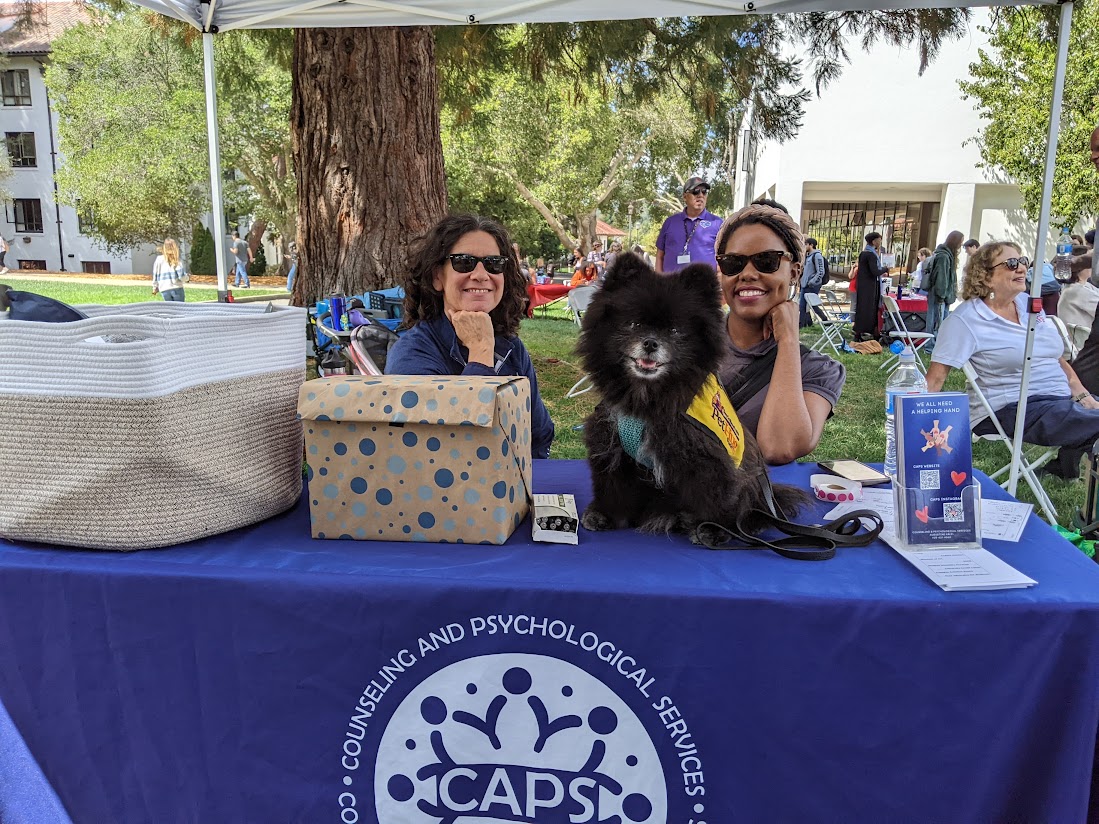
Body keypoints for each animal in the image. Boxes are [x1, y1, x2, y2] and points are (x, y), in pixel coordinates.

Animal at [580, 254, 804, 544]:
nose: (650, 343)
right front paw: (605, 515)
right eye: (634, 324)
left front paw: (713, 528)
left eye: (675, 331)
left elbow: (717, 496)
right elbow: (611, 486)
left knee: (750, 506)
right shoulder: (611, 443)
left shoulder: (708, 458)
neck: (649, 400)